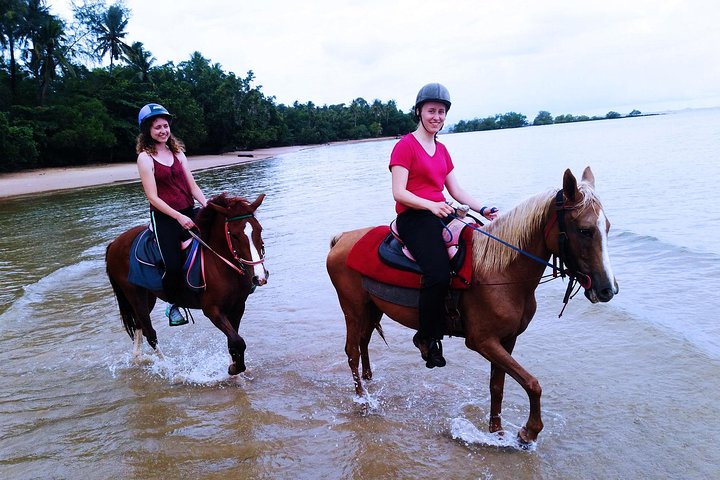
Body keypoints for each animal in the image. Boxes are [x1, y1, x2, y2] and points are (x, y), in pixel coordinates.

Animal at [105, 192, 266, 376]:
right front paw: (234, 369)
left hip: (147, 296)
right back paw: (168, 368)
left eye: (259, 229)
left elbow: (233, 341)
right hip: (134, 294)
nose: (259, 277)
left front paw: (235, 368)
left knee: (140, 326)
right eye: (234, 235)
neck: (219, 263)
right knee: (150, 333)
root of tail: (114, 243)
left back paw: (138, 359)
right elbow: (238, 341)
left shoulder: (238, 306)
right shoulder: (212, 310)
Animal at [330, 167, 616, 444]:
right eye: (585, 230)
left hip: (371, 308)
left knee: (364, 343)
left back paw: (370, 382)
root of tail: (342, 238)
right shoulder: (482, 341)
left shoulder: (507, 340)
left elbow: (498, 386)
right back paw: (363, 402)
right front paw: (528, 432)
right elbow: (532, 383)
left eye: (607, 227)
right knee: (352, 351)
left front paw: (496, 432)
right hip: (352, 309)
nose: (608, 289)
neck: (500, 272)